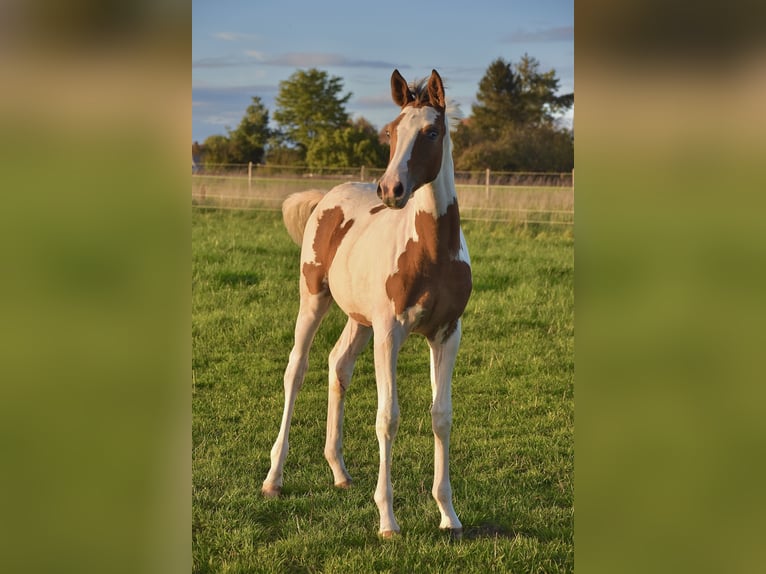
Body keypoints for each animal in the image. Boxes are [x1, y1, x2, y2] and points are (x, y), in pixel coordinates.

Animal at [260, 68, 472, 540]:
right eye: (390, 132)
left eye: (432, 132)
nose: (391, 189)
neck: (431, 251)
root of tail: (327, 197)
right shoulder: (390, 332)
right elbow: (388, 417)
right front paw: (388, 519)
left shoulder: (446, 333)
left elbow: (442, 416)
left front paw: (448, 515)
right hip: (314, 299)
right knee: (295, 369)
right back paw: (273, 479)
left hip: (359, 319)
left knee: (338, 365)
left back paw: (339, 472)